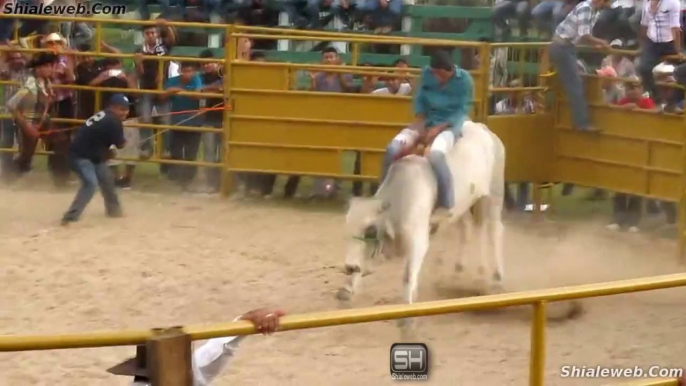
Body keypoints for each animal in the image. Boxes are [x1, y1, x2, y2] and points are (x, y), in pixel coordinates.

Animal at [338, 120, 506, 310]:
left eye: (370, 230)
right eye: (347, 227)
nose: (349, 266)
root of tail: (483, 128)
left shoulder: (417, 241)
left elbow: (408, 275)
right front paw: (347, 289)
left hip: (493, 194)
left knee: (494, 230)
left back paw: (496, 275)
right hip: (462, 204)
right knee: (469, 229)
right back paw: (462, 269)